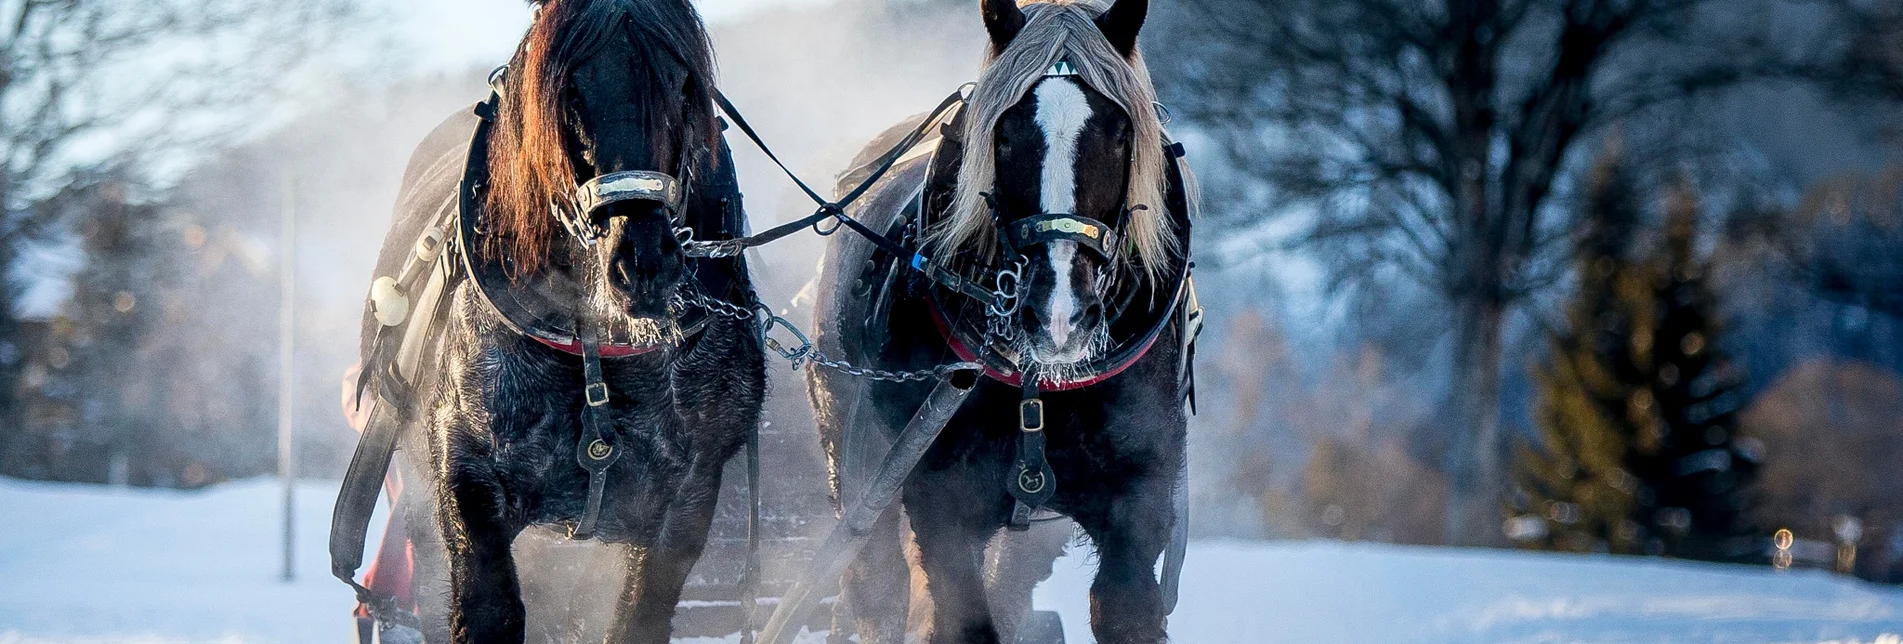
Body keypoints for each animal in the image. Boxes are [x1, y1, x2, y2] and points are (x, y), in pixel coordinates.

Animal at [353, 0, 768, 640]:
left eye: (682, 83)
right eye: (569, 91)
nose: (643, 264)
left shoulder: (687, 499)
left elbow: (638, 619)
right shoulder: (470, 480)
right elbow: (491, 610)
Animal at [810, 1, 1195, 644]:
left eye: (1119, 134)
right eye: (1006, 134)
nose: (1059, 315)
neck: (1038, 383)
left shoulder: (1140, 501)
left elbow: (1125, 609)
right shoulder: (942, 502)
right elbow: (962, 619)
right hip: (859, 460)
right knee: (877, 588)